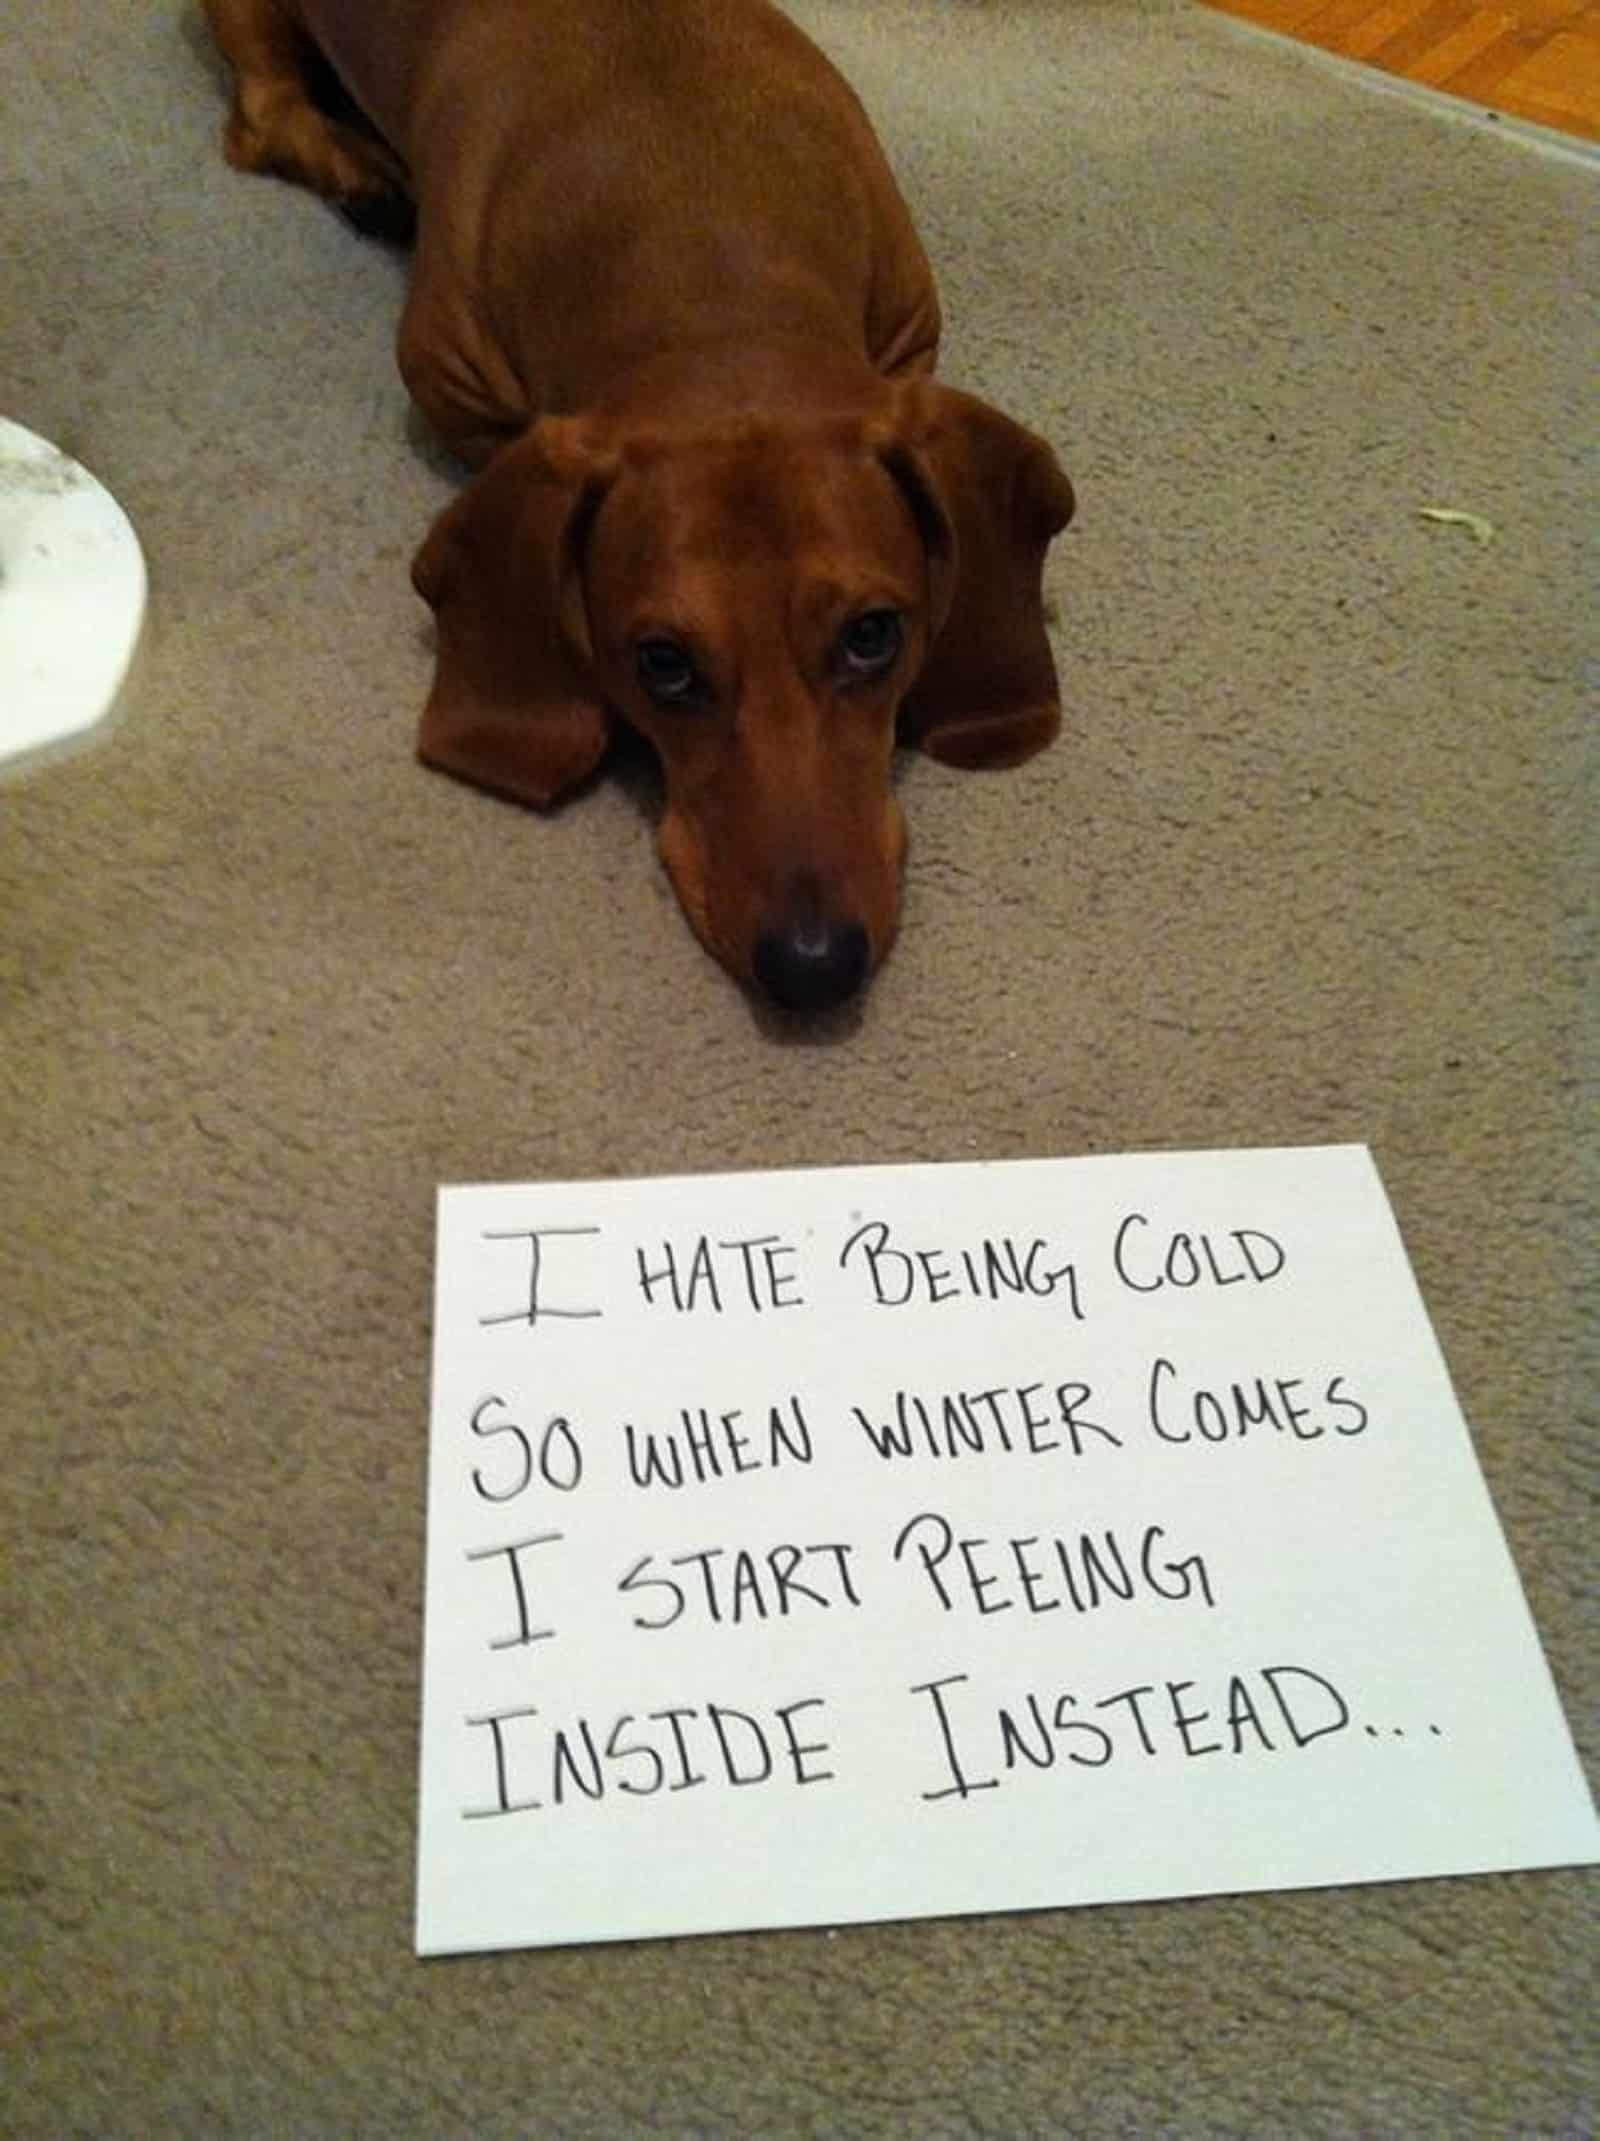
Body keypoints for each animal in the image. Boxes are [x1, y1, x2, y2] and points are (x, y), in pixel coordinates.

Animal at [203, 0, 1075, 1010]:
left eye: (873, 636)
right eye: (662, 663)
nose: (813, 967)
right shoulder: (447, 384)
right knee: (261, 116)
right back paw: (359, 173)